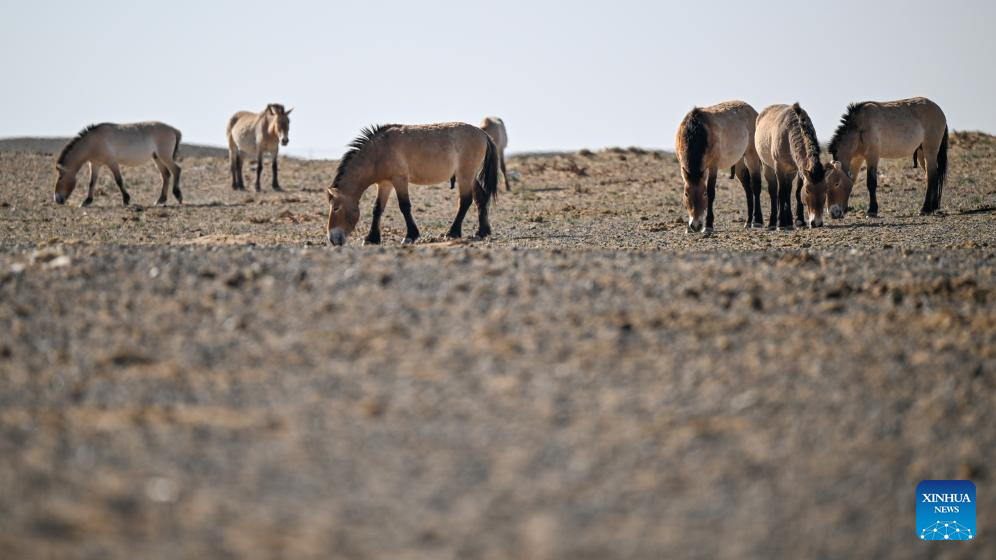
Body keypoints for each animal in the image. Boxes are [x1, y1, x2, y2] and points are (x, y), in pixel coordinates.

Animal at [53, 122, 182, 207]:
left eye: (60, 177)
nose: (57, 199)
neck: (92, 142)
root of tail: (173, 129)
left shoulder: (112, 162)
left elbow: (119, 180)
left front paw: (126, 200)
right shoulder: (95, 164)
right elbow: (92, 182)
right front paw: (87, 201)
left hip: (164, 157)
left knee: (176, 170)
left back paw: (178, 196)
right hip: (157, 158)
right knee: (166, 175)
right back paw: (161, 200)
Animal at [326, 123, 500, 246]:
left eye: (336, 208)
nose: (333, 239)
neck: (380, 150)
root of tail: (483, 134)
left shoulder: (400, 180)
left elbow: (404, 206)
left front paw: (410, 236)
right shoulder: (384, 184)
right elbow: (377, 209)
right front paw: (371, 238)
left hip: (465, 176)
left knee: (465, 201)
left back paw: (453, 232)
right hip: (471, 177)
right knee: (481, 198)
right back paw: (482, 232)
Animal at [675, 101, 763, 233]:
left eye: (704, 194)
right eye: (686, 194)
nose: (696, 226)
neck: (696, 130)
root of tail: (754, 112)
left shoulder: (713, 166)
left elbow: (712, 192)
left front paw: (709, 225)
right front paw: (688, 229)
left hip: (751, 155)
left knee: (756, 185)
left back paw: (757, 221)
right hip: (738, 161)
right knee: (747, 187)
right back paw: (748, 221)